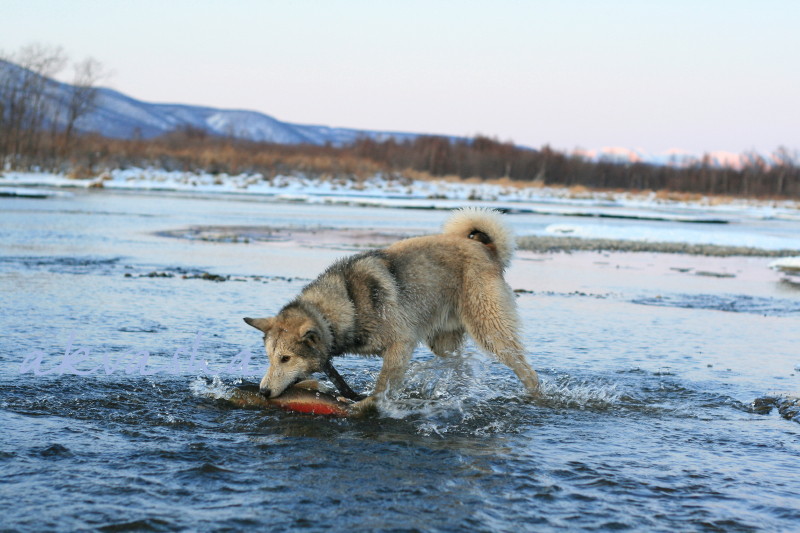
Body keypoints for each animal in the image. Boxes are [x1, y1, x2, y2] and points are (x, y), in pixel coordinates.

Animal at [244, 206, 540, 410]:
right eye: (270, 358)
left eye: (285, 358)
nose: (263, 392)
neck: (348, 303)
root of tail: (486, 248)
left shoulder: (401, 343)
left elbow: (382, 384)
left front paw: (366, 405)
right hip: (443, 341)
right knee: (458, 364)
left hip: (491, 330)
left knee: (525, 368)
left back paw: (535, 394)